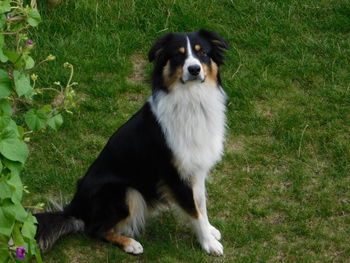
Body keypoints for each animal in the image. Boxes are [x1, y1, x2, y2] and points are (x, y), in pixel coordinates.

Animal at [35, 29, 230, 256]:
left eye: (203, 53)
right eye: (178, 55)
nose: (194, 69)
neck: (192, 101)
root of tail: (75, 208)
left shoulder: (195, 170)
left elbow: (201, 205)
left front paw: (210, 230)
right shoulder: (174, 175)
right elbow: (194, 212)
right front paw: (208, 243)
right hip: (126, 191)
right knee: (93, 229)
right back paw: (130, 243)